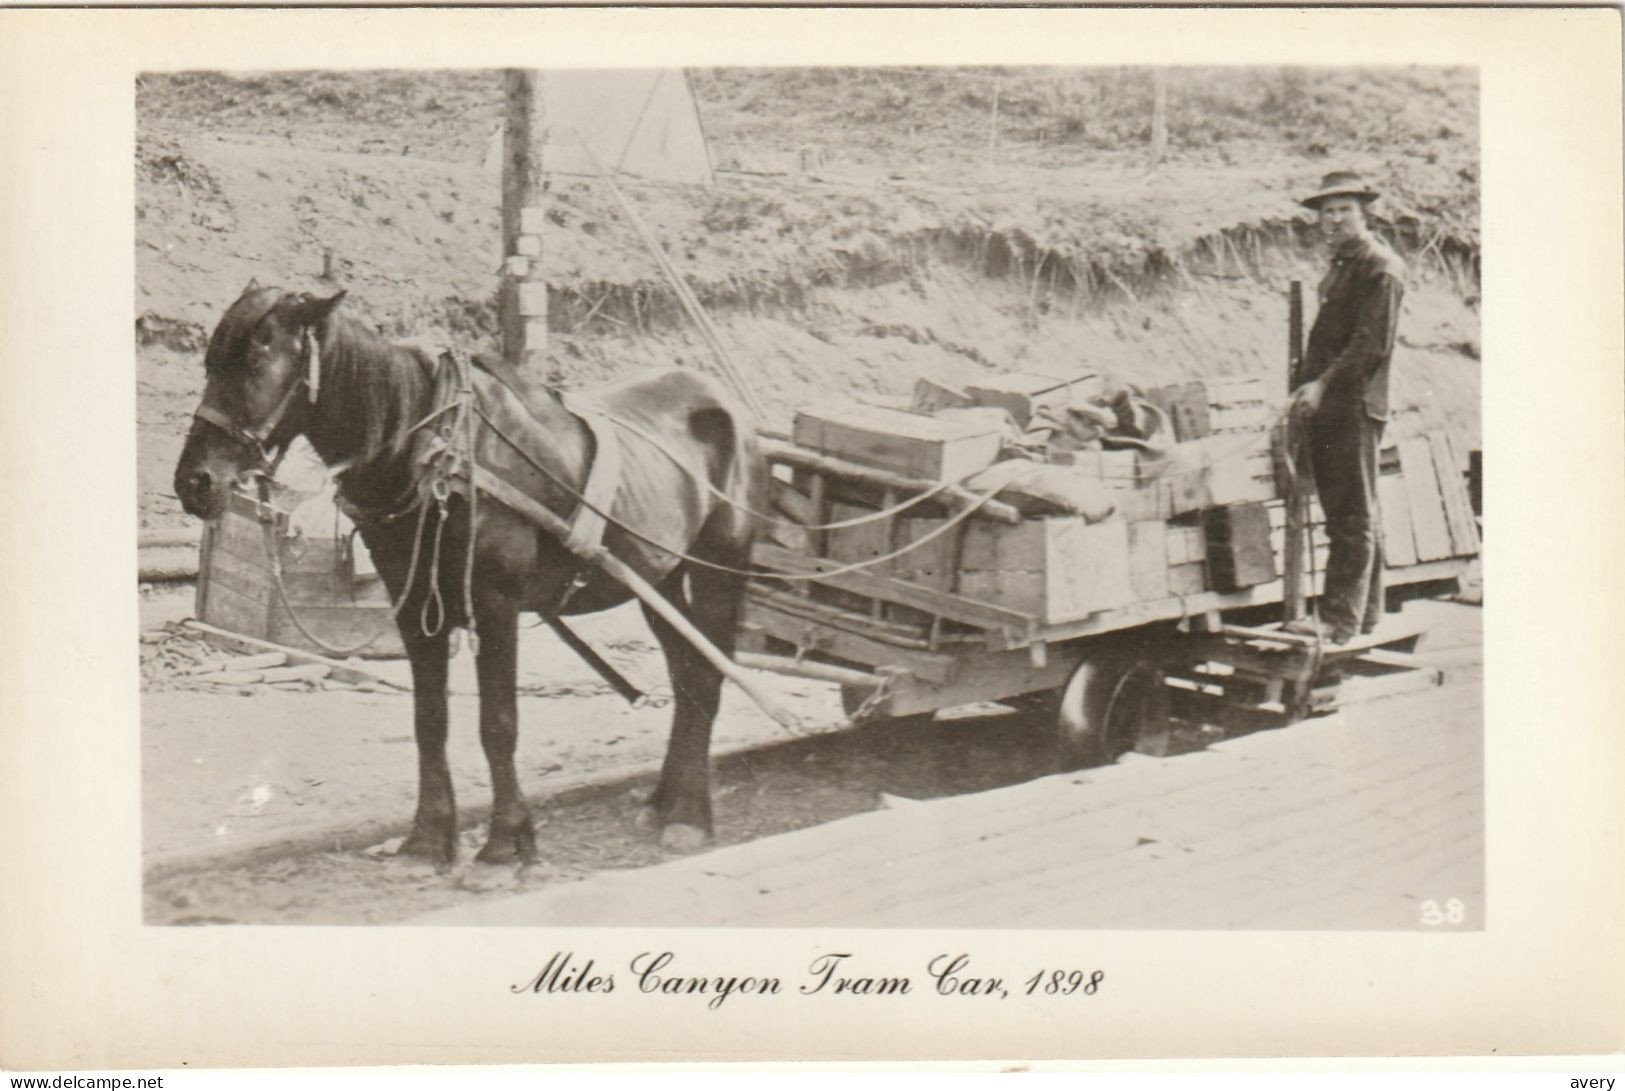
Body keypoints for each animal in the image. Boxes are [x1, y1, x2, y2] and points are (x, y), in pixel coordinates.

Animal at [174, 286, 763, 864]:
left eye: (255, 361)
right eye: (209, 363)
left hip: (719, 570)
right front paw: (428, 838)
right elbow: (429, 721)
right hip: (659, 580)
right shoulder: (415, 606)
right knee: (687, 679)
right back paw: (664, 801)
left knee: (707, 678)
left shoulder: (496, 603)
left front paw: (505, 844)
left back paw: (689, 814)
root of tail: (725, 401)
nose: (194, 482)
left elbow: (498, 724)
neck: (438, 450)